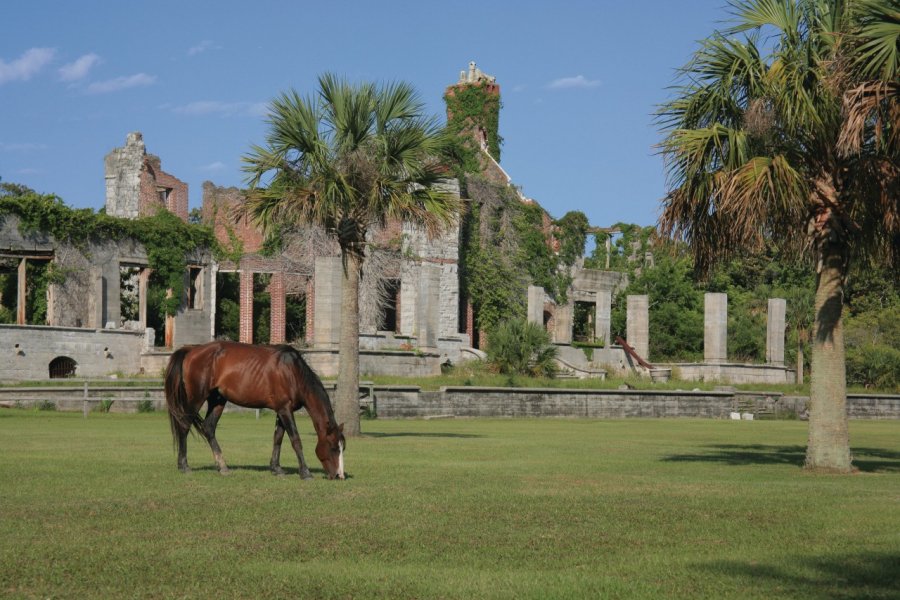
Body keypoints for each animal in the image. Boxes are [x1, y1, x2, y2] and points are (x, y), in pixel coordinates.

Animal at [162, 342, 344, 478]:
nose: (339, 475)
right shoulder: (285, 410)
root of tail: (191, 350)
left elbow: (278, 438)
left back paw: (223, 466)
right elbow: (295, 440)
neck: (292, 372)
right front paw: (305, 472)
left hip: (217, 400)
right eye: (333, 447)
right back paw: (184, 465)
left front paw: (276, 468)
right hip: (196, 399)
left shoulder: (281, 410)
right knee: (184, 426)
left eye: (343, 448)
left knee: (209, 428)